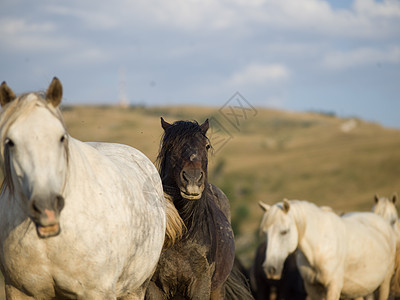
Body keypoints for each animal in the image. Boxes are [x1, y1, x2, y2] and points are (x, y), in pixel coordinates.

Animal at [0, 78, 178, 298]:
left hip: (135, 289)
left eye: (61, 137)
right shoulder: (19, 291)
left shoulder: (97, 292)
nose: (45, 206)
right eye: (10, 142)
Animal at [146, 118, 253, 298]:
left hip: (217, 288)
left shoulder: (201, 284)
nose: (193, 179)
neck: (183, 234)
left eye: (207, 146)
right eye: (171, 145)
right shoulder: (154, 286)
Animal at [258, 199, 398, 300]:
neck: (318, 250)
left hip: (384, 283)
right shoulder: (312, 289)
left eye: (284, 232)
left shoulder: (333, 287)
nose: (269, 269)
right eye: (265, 233)